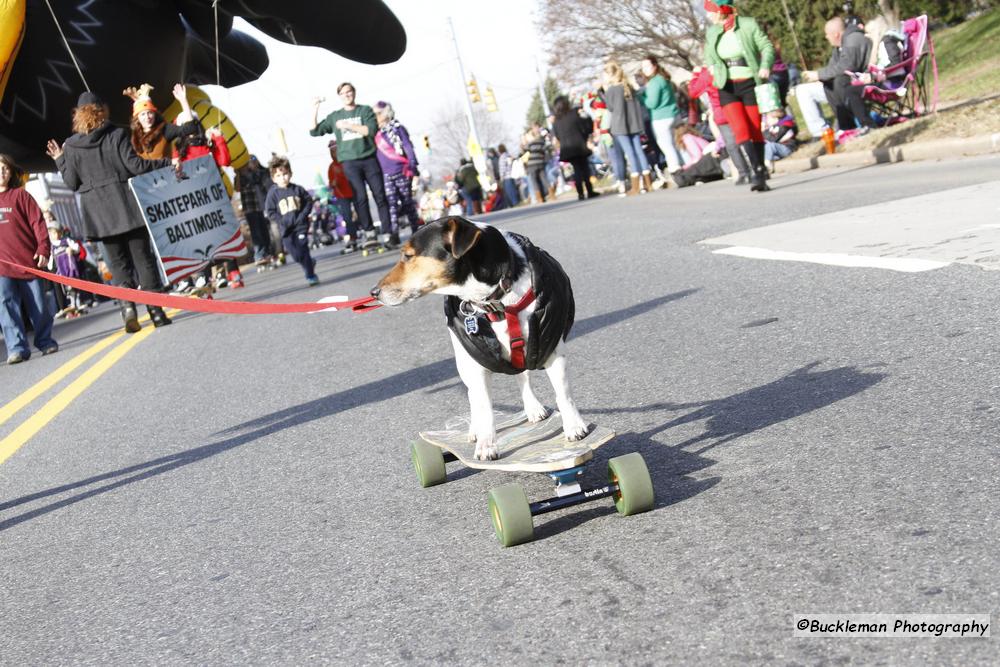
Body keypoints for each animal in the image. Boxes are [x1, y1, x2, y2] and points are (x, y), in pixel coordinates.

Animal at [372, 217, 588, 462]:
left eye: (408, 256)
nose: (374, 292)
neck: (496, 299)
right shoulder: (476, 364)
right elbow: (485, 409)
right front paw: (486, 444)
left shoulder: (550, 346)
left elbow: (563, 392)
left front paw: (574, 426)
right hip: (464, 360)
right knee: (473, 395)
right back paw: (475, 428)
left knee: (522, 376)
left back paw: (533, 407)